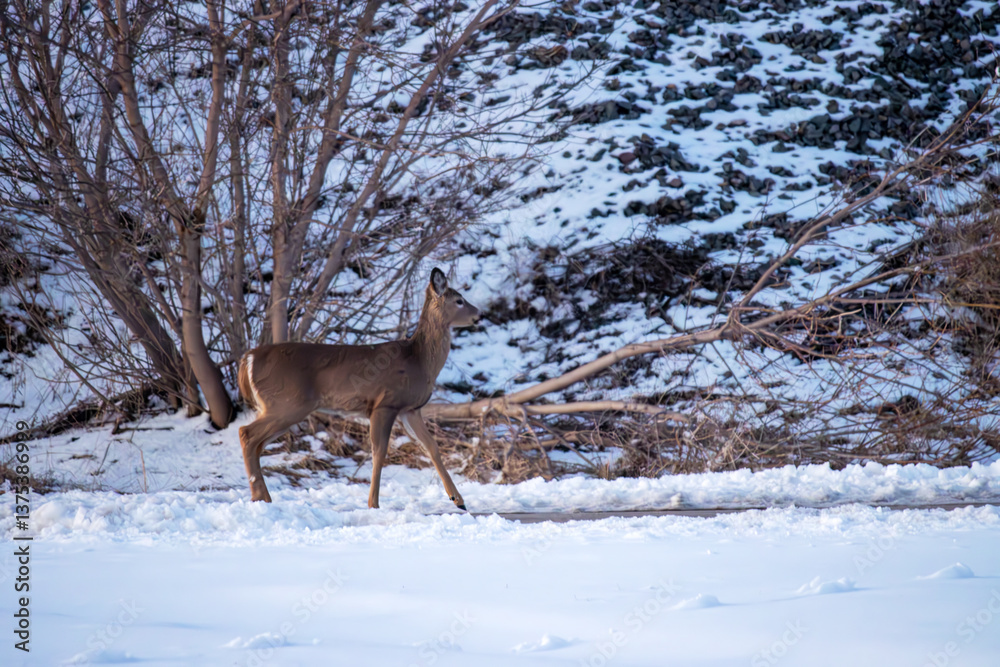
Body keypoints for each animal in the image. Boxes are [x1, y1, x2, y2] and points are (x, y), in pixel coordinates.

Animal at [236, 268, 480, 509]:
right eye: (459, 300)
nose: (478, 314)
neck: (419, 360)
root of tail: (248, 358)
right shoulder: (385, 403)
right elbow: (379, 453)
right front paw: (373, 504)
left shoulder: (410, 409)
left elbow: (431, 447)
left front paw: (458, 500)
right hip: (286, 403)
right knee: (246, 433)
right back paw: (259, 496)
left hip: (278, 407)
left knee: (256, 443)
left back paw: (262, 496)